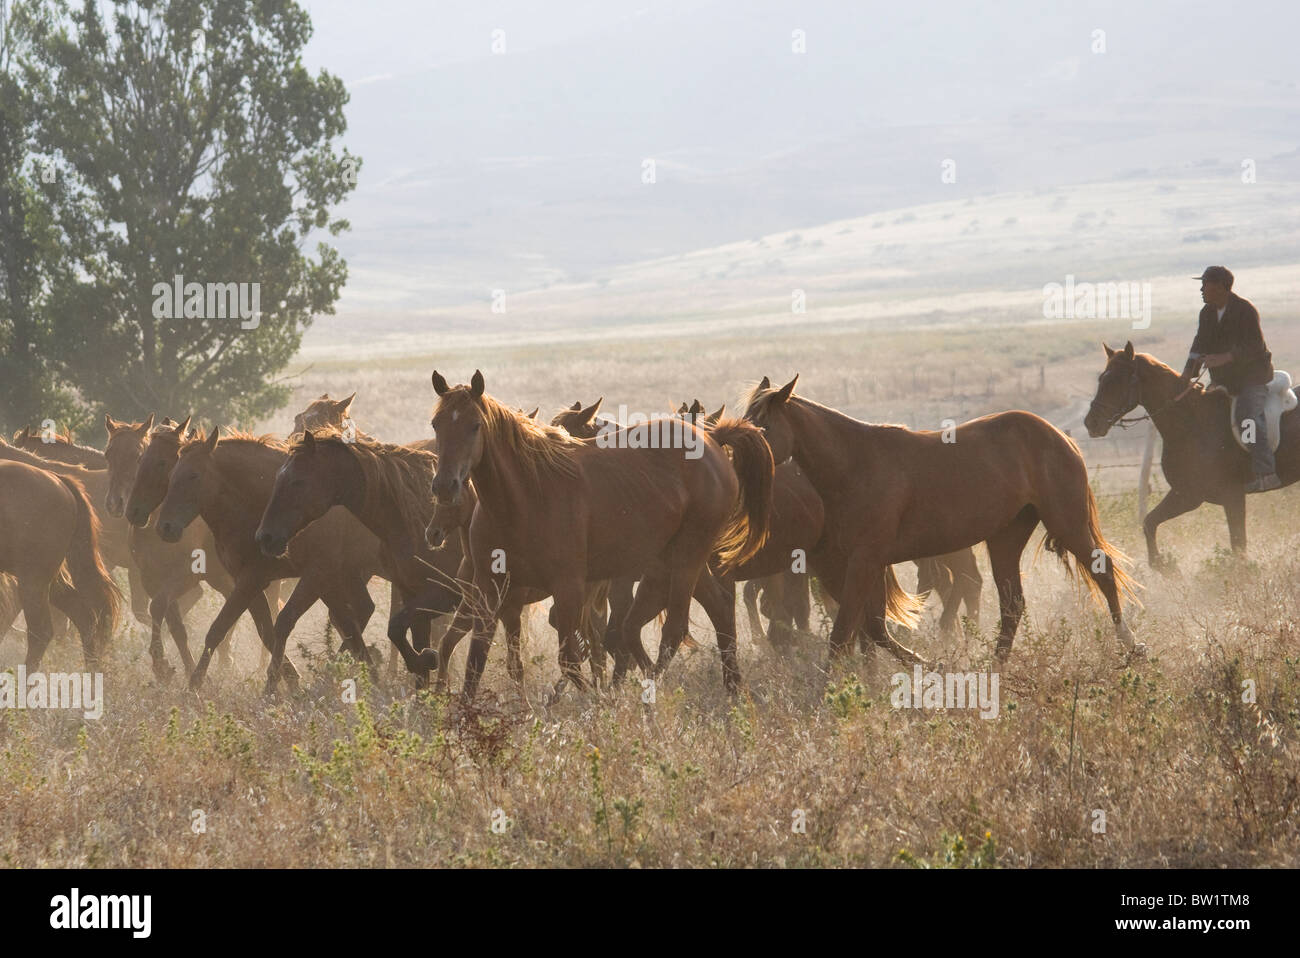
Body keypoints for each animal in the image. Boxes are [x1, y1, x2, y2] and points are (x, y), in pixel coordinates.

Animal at [252, 428, 462, 686]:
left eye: (297, 481)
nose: (265, 537)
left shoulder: (446, 592)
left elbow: (396, 628)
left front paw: (422, 661)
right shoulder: (413, 594)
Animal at [426, 371, 769, 696]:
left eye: (475, 426)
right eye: (436, 424)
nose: (444, 486)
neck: (524, 498)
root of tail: (711, 440)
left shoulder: (569, 587)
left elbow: (571, 658)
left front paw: (597, 700)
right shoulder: (490, 590)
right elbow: (475, 665)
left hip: (688, 554)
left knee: (672, 629)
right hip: (674, 560)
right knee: (717, 609)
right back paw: (733, 688)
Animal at [743, 376, 1138, 660]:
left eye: (763, 428)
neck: (856, 464)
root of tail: (1058, 437)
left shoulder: (863, 561)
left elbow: (844, 634)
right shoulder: (864, 564)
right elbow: (872, 628)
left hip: (1067, 522)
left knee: (1104, 574)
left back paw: (1132, 645)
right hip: (1006, 537)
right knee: (1011, 604)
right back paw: (995, 666)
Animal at [1086, 340, 1300, 564]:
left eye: (1116, 381)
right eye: (1101, 379)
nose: (1091, 423)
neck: (1193, 422)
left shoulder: (1231, 496)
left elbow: (1238, 546)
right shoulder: (1187, 494)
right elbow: (1149, 522)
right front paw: (1164, 566)